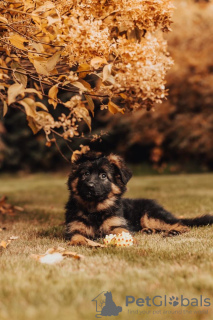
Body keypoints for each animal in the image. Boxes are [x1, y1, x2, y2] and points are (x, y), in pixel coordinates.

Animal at [65, 151, 213, 246]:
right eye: (86, 174)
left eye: (103, 176)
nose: (89, 186)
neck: (95, 210)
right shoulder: (73, 228)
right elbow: (76, 235)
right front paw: (79, 241)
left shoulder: (118, 224)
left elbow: (124, 231)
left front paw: (130, 240)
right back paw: (149, 231)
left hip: (150, 216)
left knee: (182, 225)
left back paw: (173, 232)